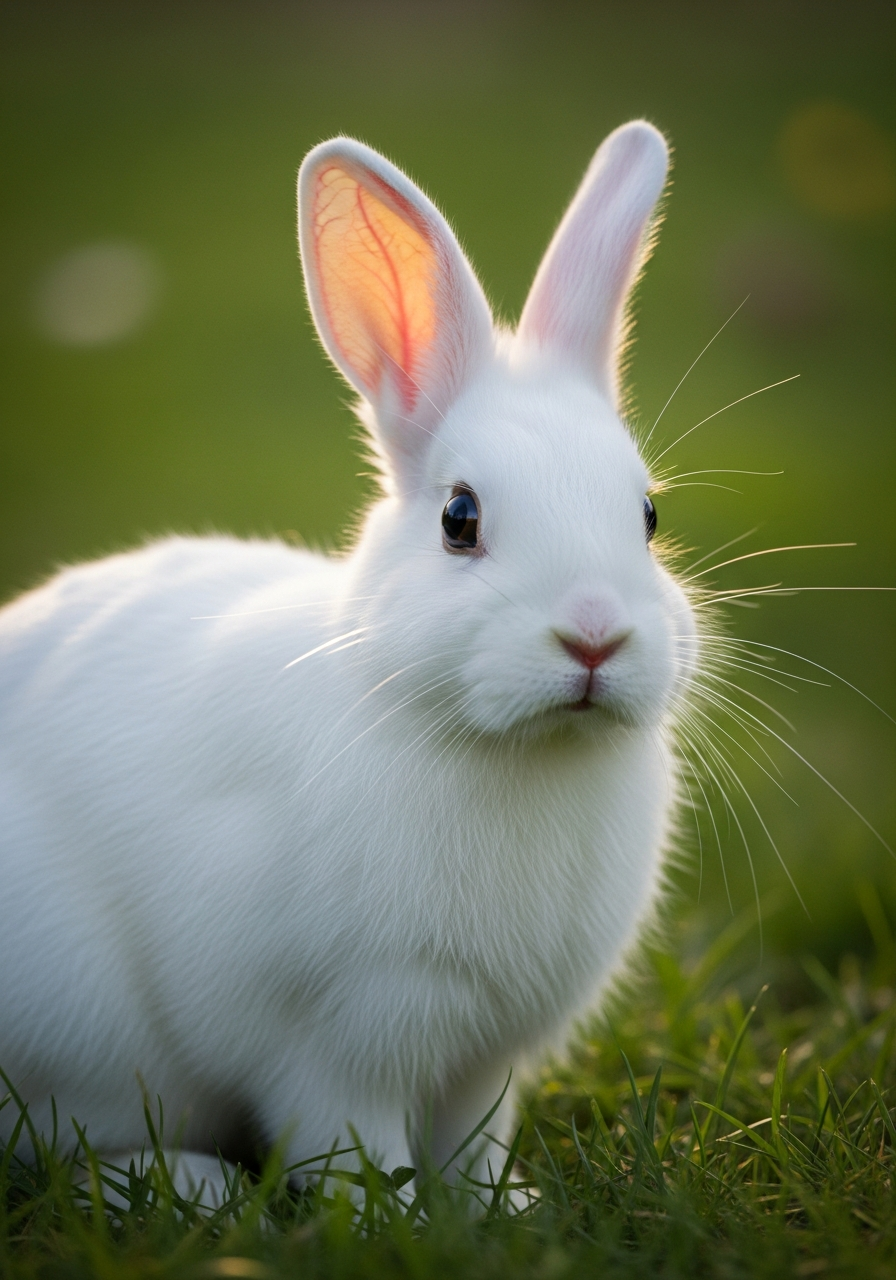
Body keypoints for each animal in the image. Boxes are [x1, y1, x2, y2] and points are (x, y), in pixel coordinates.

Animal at [0, 120, 697, 1200]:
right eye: (460, 518)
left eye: (648, 514)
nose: (592, 634)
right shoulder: (333, 1040)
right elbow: (350, 1146)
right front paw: (386, 1218)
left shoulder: (482, 1060)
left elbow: (474, 1141)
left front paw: (502, 1207)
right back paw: (190, 1185)